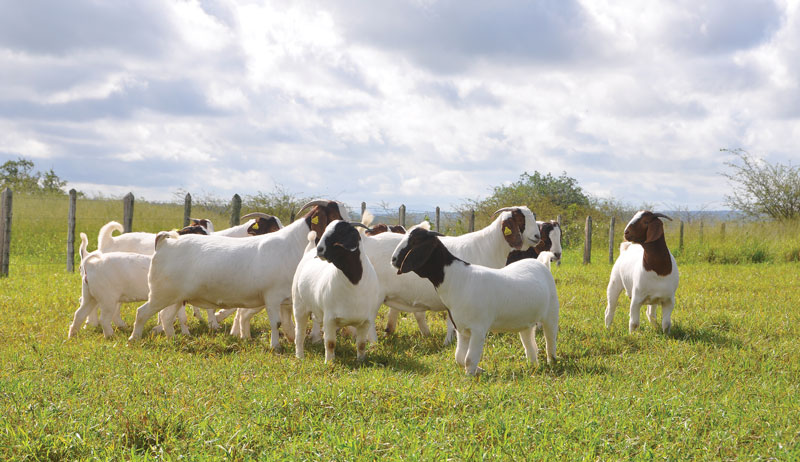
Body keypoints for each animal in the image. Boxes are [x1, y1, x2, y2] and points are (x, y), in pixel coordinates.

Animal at [127, 200, 349, 349]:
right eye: (335, 217)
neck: (294, 244)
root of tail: (165, 242)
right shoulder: (272, 296)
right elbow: (275, 322)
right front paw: (275, 346)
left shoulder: (287, 299)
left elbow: (288, 324)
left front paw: (294, 341)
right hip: (160, 294)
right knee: (142, 312)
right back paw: (133, 339)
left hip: (175, 297)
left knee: (165, 317)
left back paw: (173, 339)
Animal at [293, 221, 381, 363]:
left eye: (341, 232)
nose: (319, 250)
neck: (354, 283)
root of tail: (309, 250)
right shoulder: (329, 318)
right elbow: (330, 343)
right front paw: (329, 362)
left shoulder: (366, 321)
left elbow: (361, 344)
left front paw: (361, 361)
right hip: (299, 306)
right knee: (299, 334)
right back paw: (300, 356)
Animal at [392, 228, 559, 375]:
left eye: (415, 241)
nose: (393, 260)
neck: (458, 278)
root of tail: (541, 263)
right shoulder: (462, 329)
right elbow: (459, 357)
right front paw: (480, 370)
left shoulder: (478, 329)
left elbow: (469, 359)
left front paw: (471, 377)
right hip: (525, 321)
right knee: (529, 343)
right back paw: (533, 366)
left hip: (551, 313)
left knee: (550, 340)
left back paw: (551, 363)